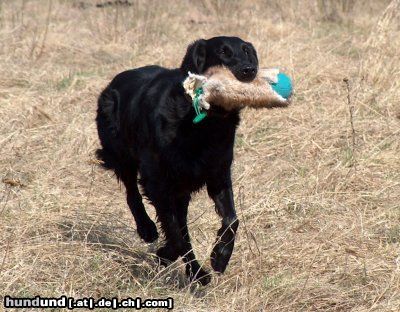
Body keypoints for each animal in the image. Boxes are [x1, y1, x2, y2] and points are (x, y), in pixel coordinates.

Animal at [97, 36, 260, 286]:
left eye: (247, 52)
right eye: (223, 52)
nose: (249, 69)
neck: (204, 124)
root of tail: (114, 81)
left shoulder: (218, 174)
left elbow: (231, 220)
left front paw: (220, 256)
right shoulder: (158, 182)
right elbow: (176, 235)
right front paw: (172, 256)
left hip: (181, 190)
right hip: (123, 154)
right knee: (132, 194)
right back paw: (148, 229)